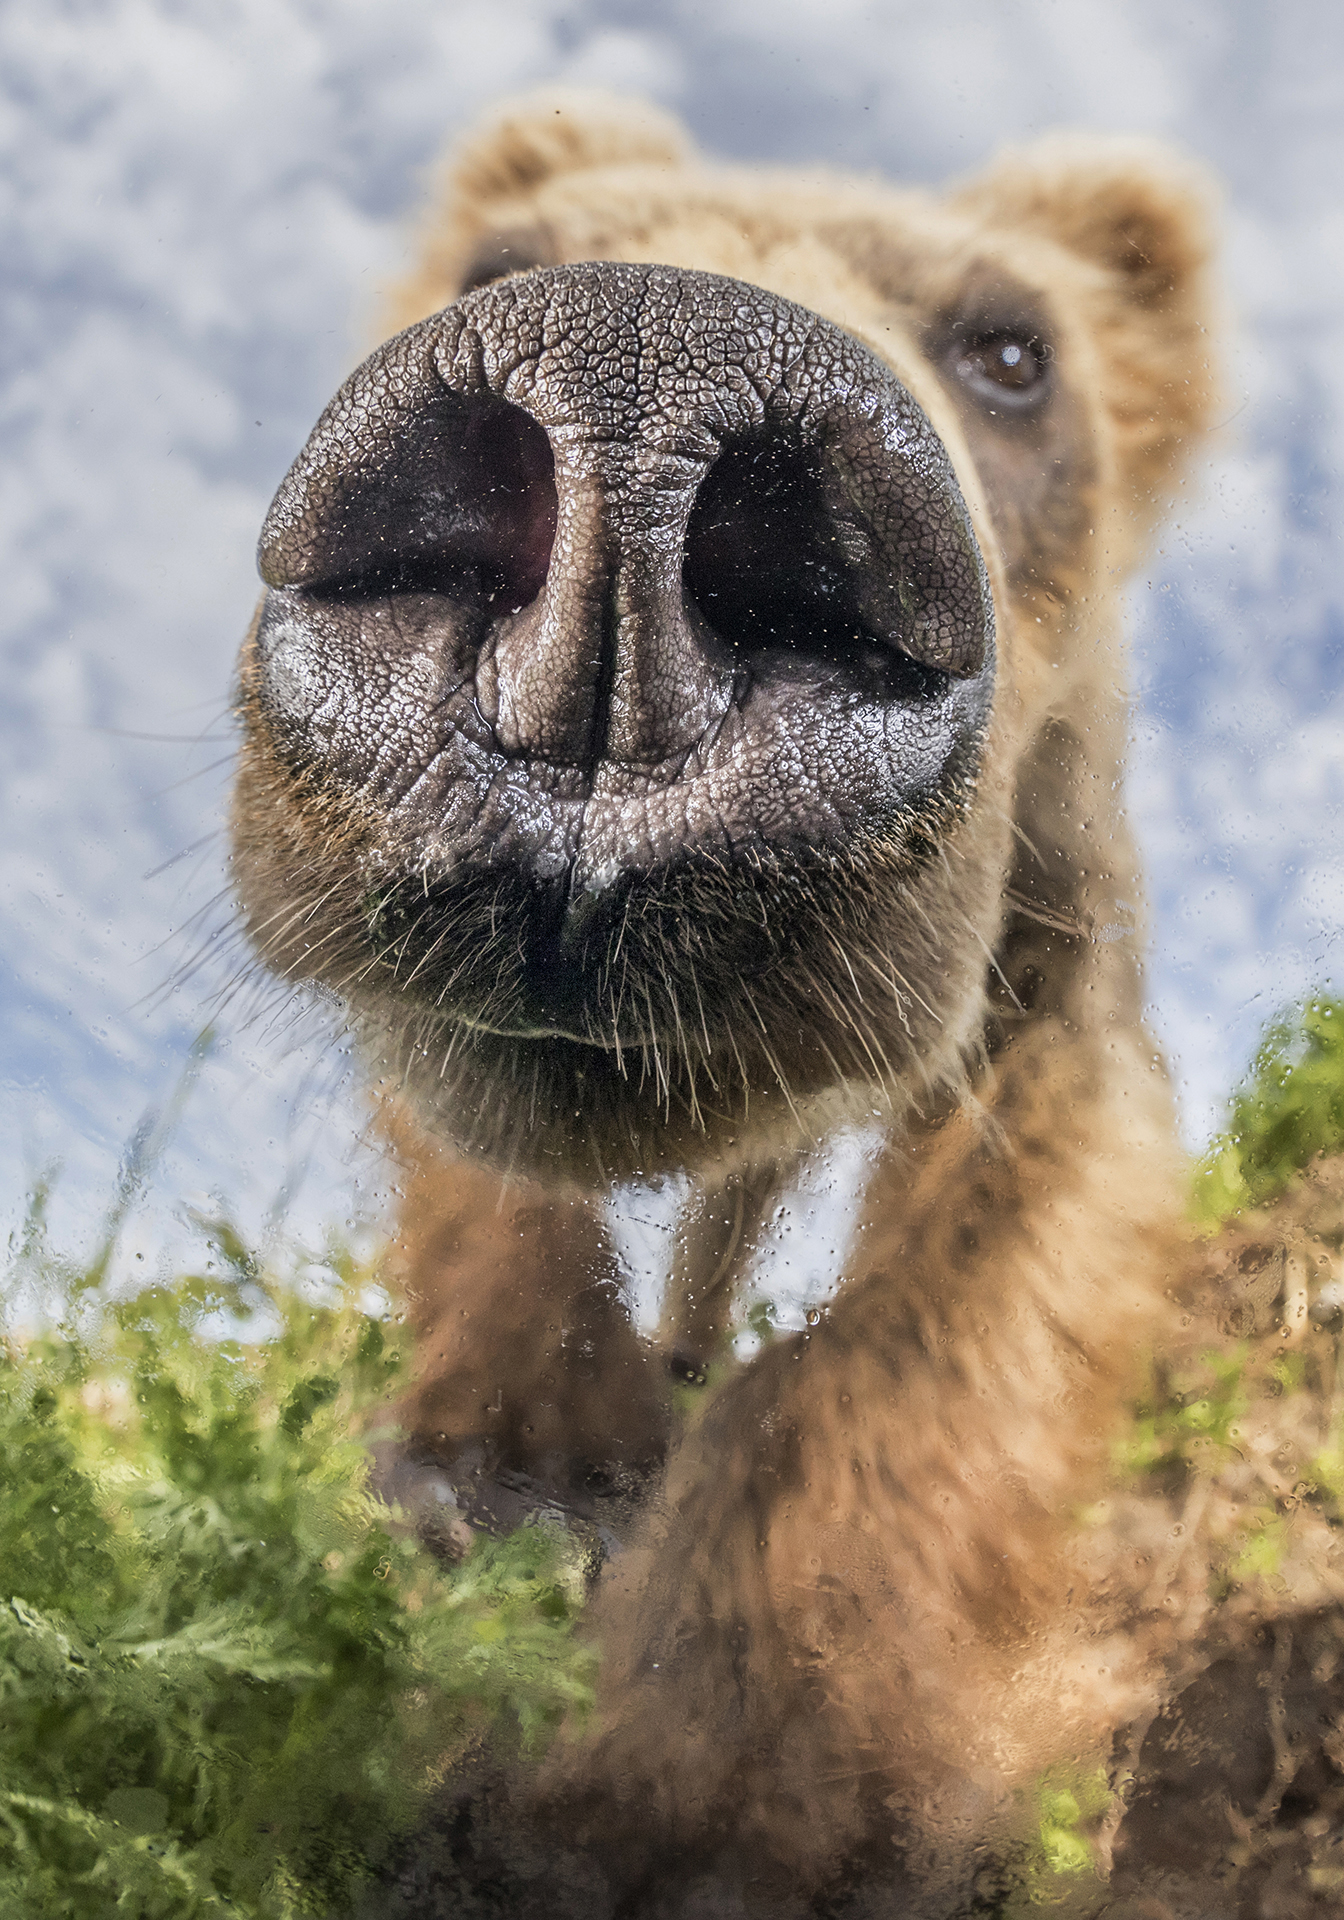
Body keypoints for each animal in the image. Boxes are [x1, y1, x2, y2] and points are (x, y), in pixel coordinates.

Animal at [225, 90, 1305, 1920]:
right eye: (499, 259)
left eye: (1011, 348)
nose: (632, 420)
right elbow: (477, 1152)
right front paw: (509, 1478)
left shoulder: (1036, 926)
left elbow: (972, 1270)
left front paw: (697, 1781)